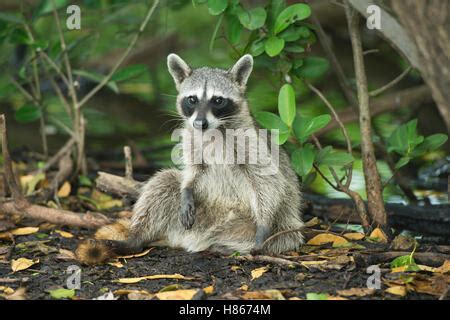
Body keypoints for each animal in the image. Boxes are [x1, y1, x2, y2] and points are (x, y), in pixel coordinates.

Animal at [75, 53, 304, 264]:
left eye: (218, 100)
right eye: (192, 99)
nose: (200, 122)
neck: (213, 129)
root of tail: (196, 238)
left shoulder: (250, 141)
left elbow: (267, 179)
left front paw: (263, 225)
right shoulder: (191, 137)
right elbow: (193, 170)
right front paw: (186, 187)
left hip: (280, 225)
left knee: (280, 236)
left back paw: (233, 247)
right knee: (163, 183)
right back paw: (135, 239)